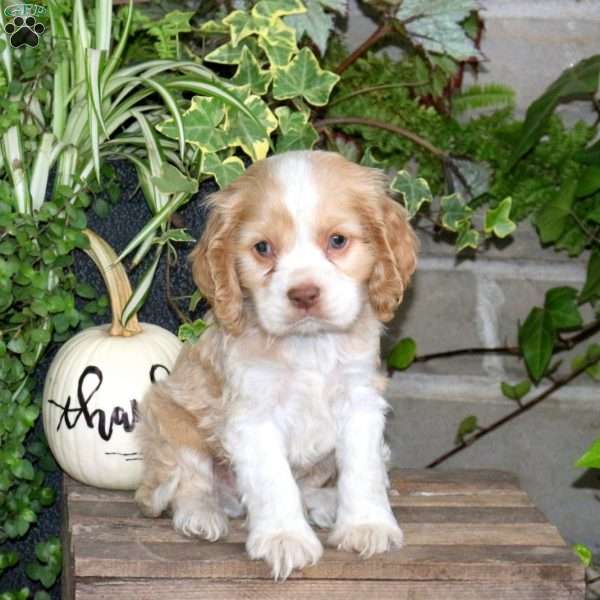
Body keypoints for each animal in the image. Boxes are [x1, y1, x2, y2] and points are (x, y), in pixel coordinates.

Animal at [135, 150, 418, 580]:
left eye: (337, 241)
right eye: (263, 248)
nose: (304, 294)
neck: (309, 344)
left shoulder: (359, 401)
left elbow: (363, 468)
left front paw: (367, 526)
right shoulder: (252, 415)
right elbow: (273, 480)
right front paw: (285, 539)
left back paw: (325, 504)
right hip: (170, 416)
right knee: (190, 479)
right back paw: (202, 516)